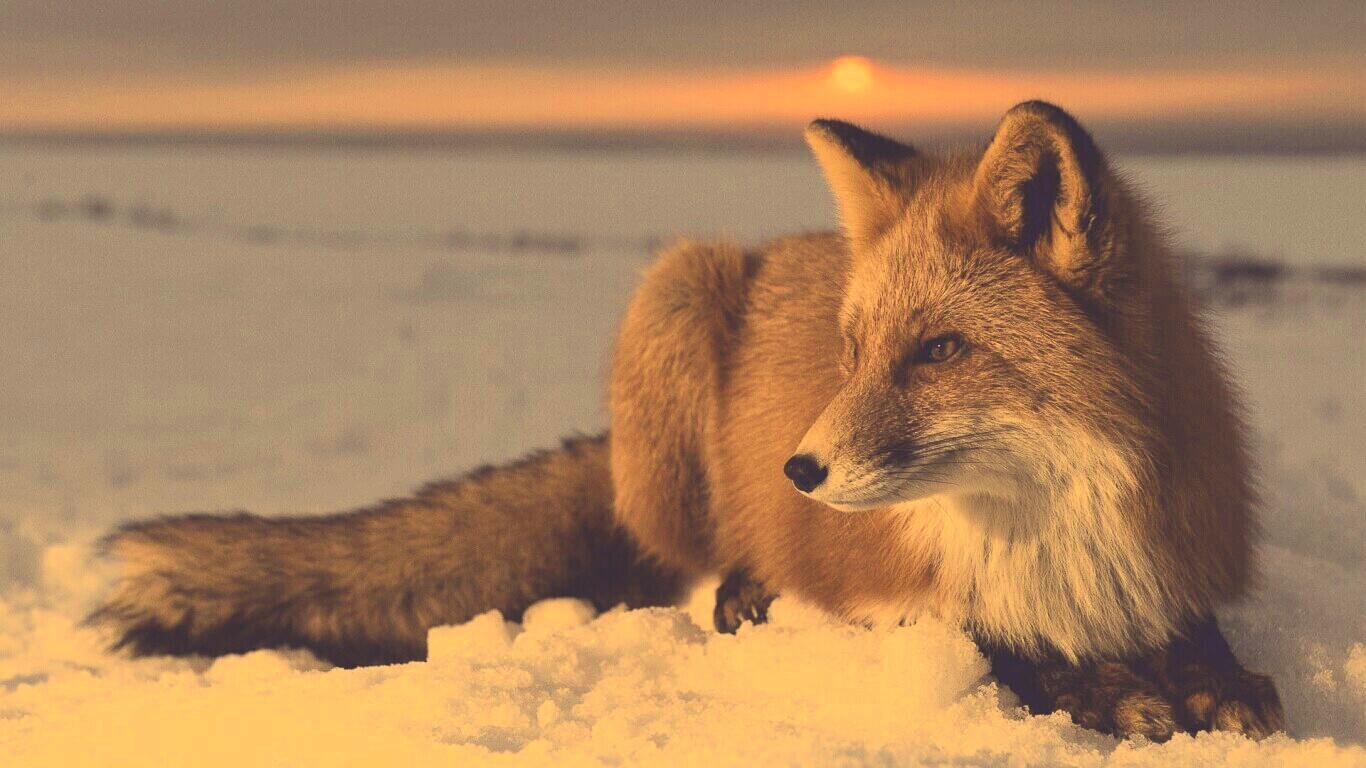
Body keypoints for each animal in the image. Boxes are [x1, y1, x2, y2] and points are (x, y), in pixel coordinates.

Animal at [90, 101, 1282, 740]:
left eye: (940, 351)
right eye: (853, 352)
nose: (799, 470)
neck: (1051, 533)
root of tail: (780, 244)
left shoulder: (1172, 559)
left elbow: (1201, 639)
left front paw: (1209, 684)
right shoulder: (885, 590)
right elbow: (998, 649)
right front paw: (1111, 694)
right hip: (675, 292)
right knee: (689, 561)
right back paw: (741, 590)